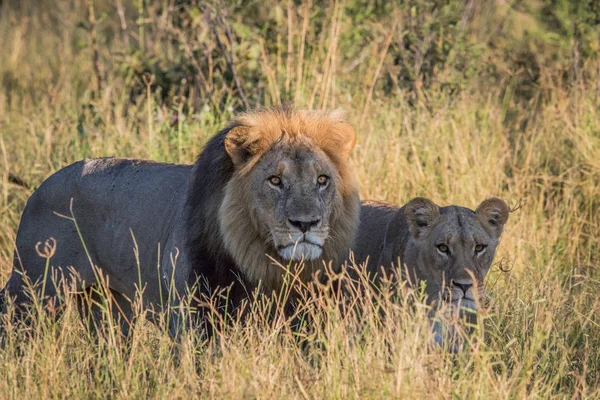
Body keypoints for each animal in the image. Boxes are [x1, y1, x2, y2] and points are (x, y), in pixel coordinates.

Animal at [2, 107, 358, 328]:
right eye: (275, 180)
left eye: (322, 180)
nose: (306, 224)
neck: (258, 259)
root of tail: (40, 186)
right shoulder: (189, 316)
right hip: (32, 292)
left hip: (109, 305)